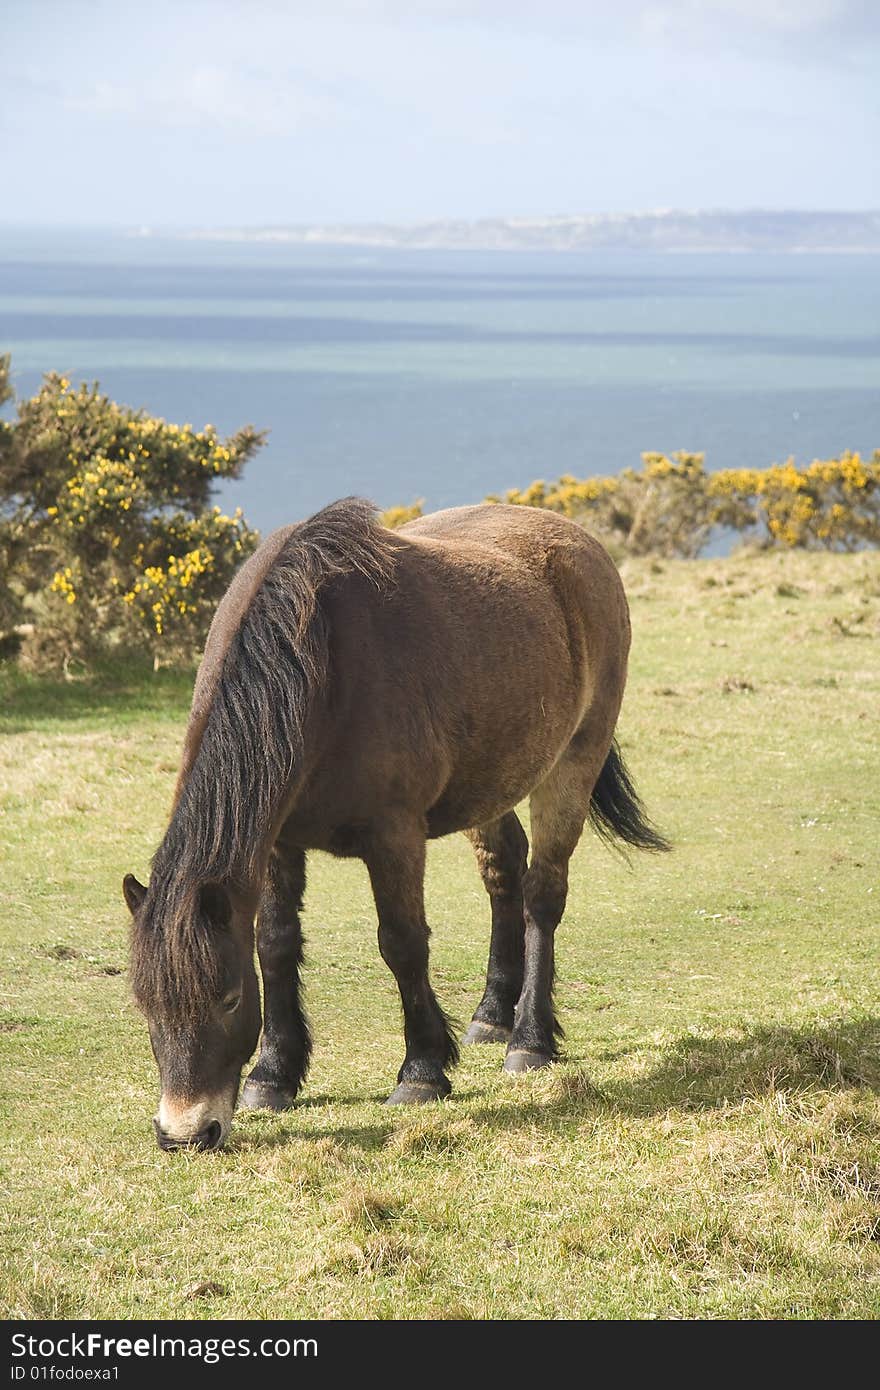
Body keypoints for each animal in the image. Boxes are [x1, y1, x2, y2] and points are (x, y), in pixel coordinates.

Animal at [123, 500, 664, 1150]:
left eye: (227, 1000)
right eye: (145, 1007)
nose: (185, 1133)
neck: (322, 670)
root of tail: (580, 541)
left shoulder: (394, 839)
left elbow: (402, 944)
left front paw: (422, 1072)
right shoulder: (278, 844)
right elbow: (274, 943)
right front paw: (273, 1075)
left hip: (572, 764)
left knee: (542, 895)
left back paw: (529, 1039)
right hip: (492, 785)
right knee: (503, 874)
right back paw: (491, 1015)